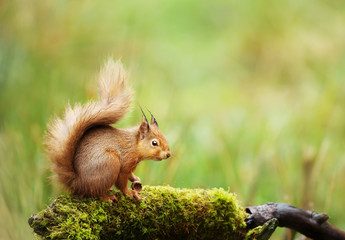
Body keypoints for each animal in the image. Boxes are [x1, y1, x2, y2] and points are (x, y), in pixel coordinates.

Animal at [44, 59, 171, 201]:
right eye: (154, 143)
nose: (168, 154)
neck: (133, 145)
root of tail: (77, 183)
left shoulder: (130, 167)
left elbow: (130, 175)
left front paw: (135, 179)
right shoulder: (125, 164)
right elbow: (122, 182)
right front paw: (130, 193)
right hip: (110, 163)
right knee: (95, 192)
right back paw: (107, 197)